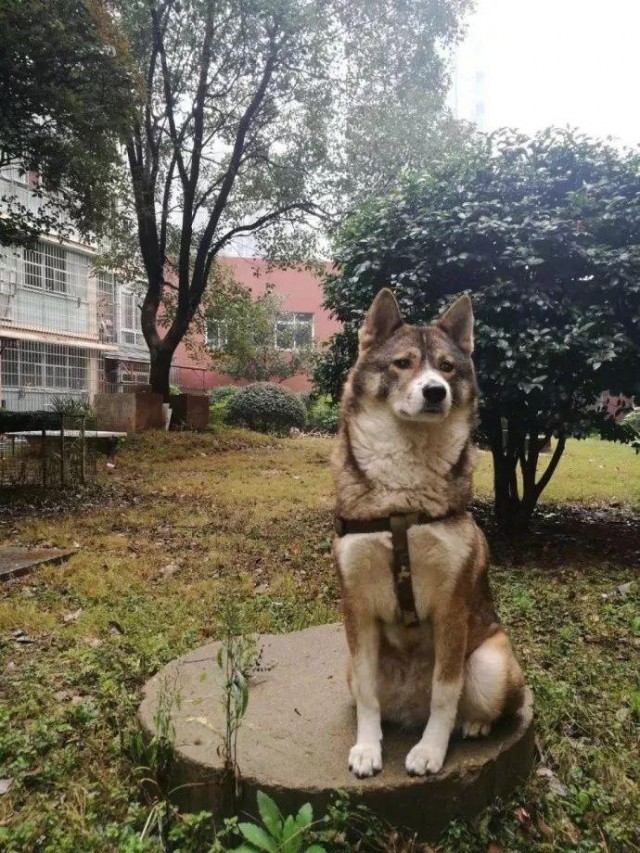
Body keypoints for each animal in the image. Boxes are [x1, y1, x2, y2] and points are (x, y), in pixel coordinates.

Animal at [332, 290, 524, 776]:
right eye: (403, 363)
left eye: (448, 367)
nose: (436, 390)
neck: (404, 496)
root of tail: (409, 707)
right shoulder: (357, 607)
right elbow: (367, 694)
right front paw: (367, 747)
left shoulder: (452, 607)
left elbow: (446, 692)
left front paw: (431, 750)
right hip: (350, 668)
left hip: (493, 662)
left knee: (487, 704)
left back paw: (473, 724)